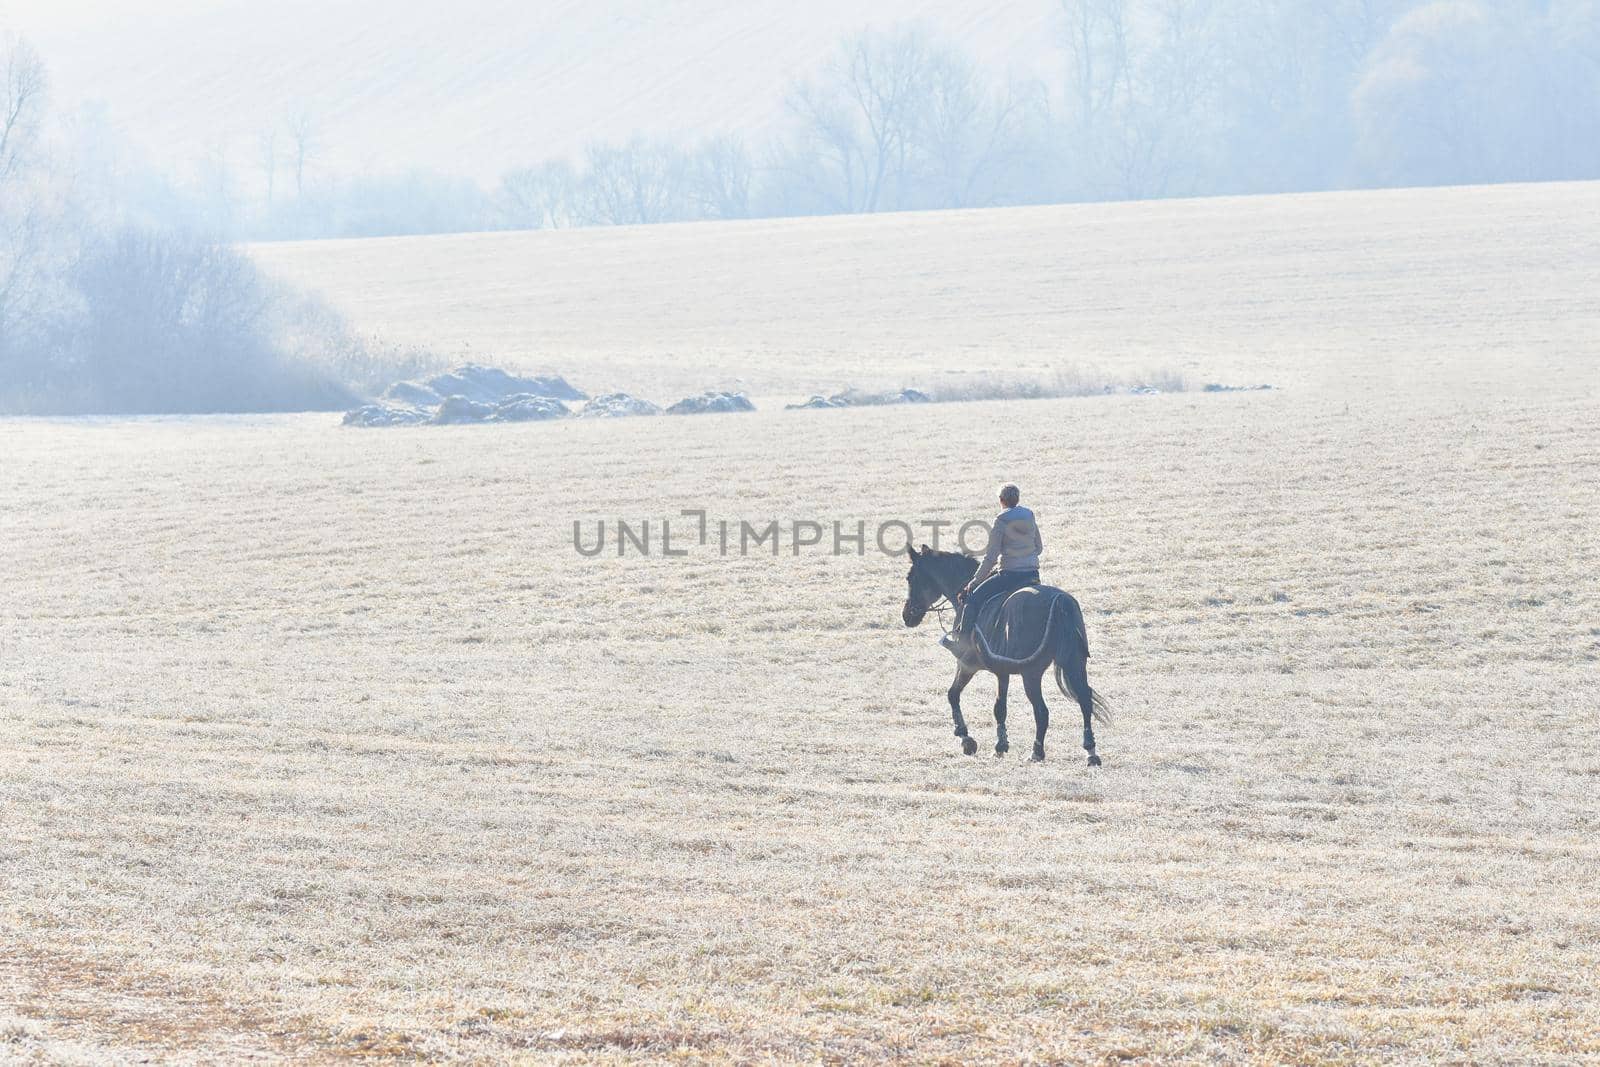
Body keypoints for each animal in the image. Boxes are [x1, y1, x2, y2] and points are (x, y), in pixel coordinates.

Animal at [902, 547, 1113, 764]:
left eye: (910, 578)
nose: (906, 615)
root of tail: (1059, 602)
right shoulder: (1002, 673)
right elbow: (1000, 707)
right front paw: (1000, 745)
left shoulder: (968, 665)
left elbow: (955, 695)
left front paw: (968, 739)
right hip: (1074, 663)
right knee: (1084, 701)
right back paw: (1091, 753)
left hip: (1032, 673)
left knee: (1042, 711)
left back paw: (1036, 752)